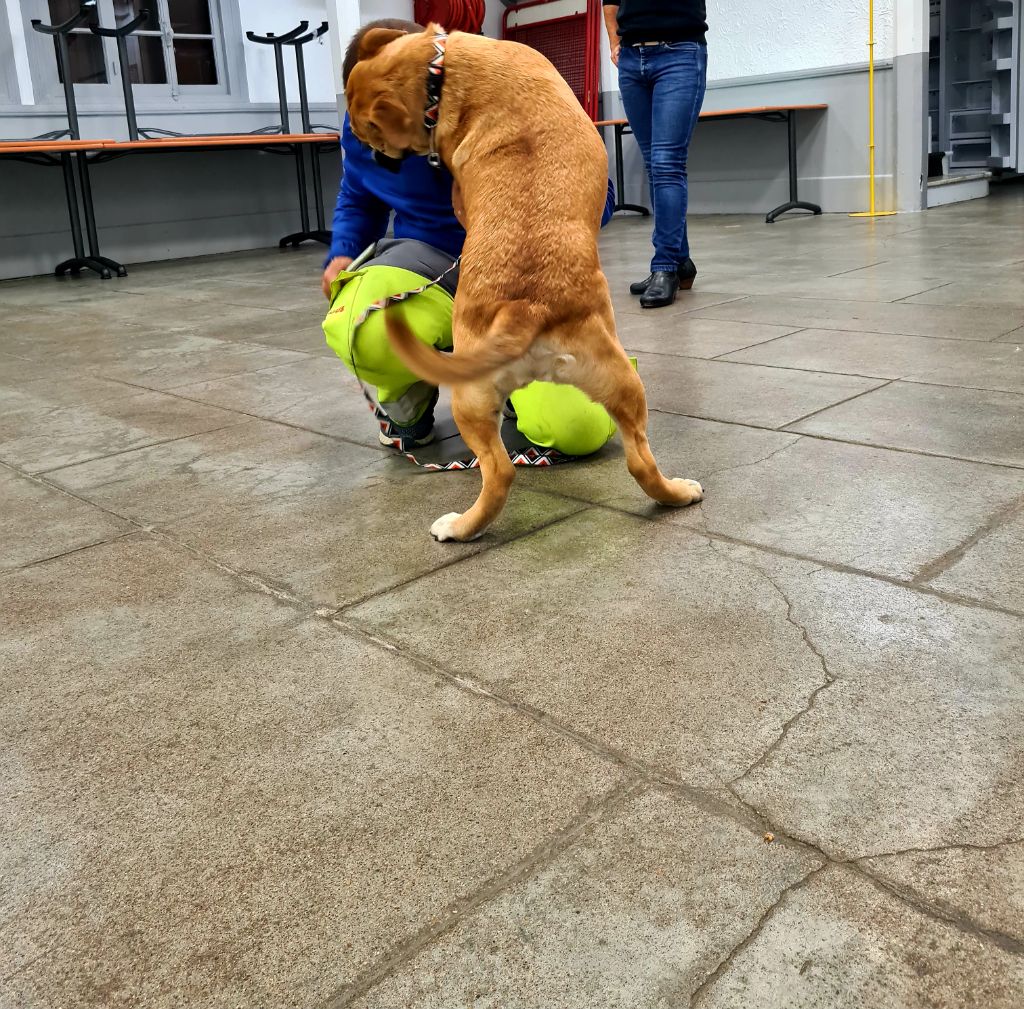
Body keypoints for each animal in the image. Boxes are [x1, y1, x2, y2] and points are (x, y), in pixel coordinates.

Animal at [346, 25, 704, 544]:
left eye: (369, 133)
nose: (372, 158)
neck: (441, 71)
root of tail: (526, 306)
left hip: (498, 398)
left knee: (501, 470)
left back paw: (462, 526)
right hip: (616, 385)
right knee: (626, 462)